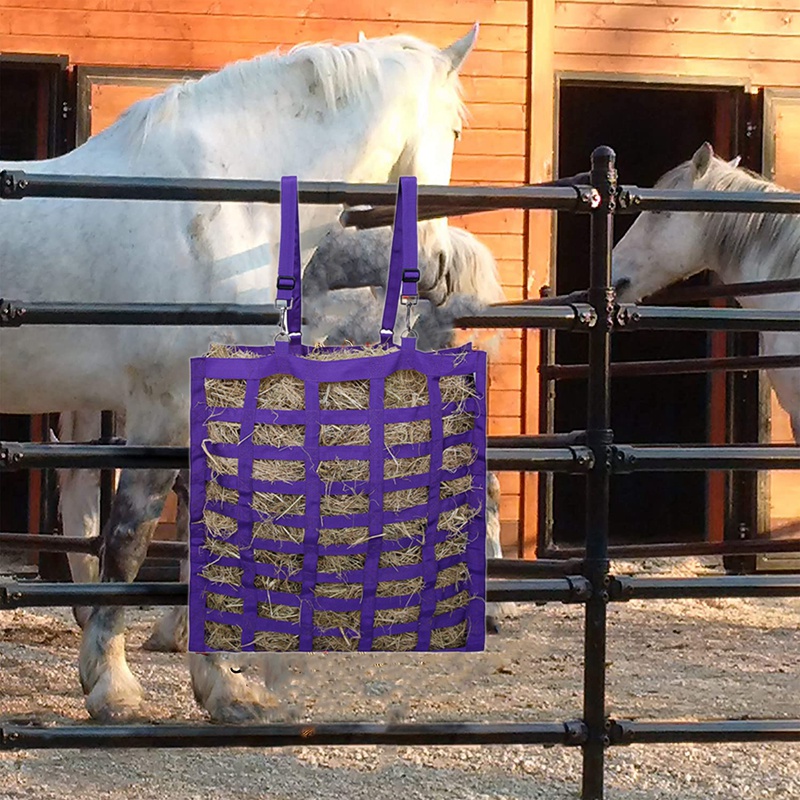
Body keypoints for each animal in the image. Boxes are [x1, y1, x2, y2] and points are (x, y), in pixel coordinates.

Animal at [0, 27, 479, 724]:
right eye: (456, 128)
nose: (441, 267)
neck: (217, 207)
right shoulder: (162, 407)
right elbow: (130, 537)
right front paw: (113, 687)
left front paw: (223, 688)